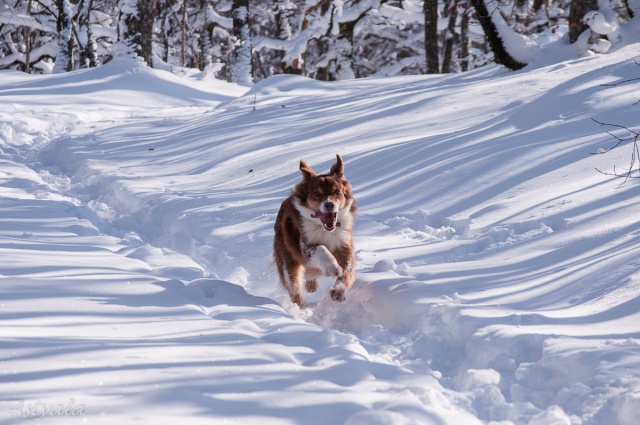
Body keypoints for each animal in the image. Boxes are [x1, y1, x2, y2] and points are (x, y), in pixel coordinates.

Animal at [272, 154, 358, 306]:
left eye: (337, 191)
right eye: (317, 193)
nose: (329, 204)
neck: (326, 230)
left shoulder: (344, 246)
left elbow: (347, 271)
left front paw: (338, 291)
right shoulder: (306, 247)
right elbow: (321, 248)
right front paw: (332, 267)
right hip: (287, 261)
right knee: (295, 289)